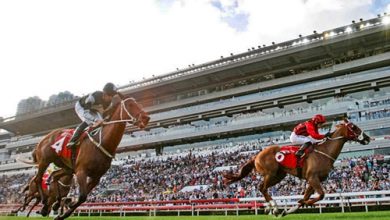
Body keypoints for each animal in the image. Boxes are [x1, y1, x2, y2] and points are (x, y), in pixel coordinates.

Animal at [224, 118, 370, 217]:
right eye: (353, 127)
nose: (367, 138)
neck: (325, 152)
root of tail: (256, 155)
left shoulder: (314, 180)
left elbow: (305, 197)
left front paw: (289, 210)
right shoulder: (313, 178)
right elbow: (321, 195)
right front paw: (306, 203)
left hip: (279, 175)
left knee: (262, 188)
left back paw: (271, 208)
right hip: (270, 174)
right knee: (262, 188)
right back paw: (274, 207)